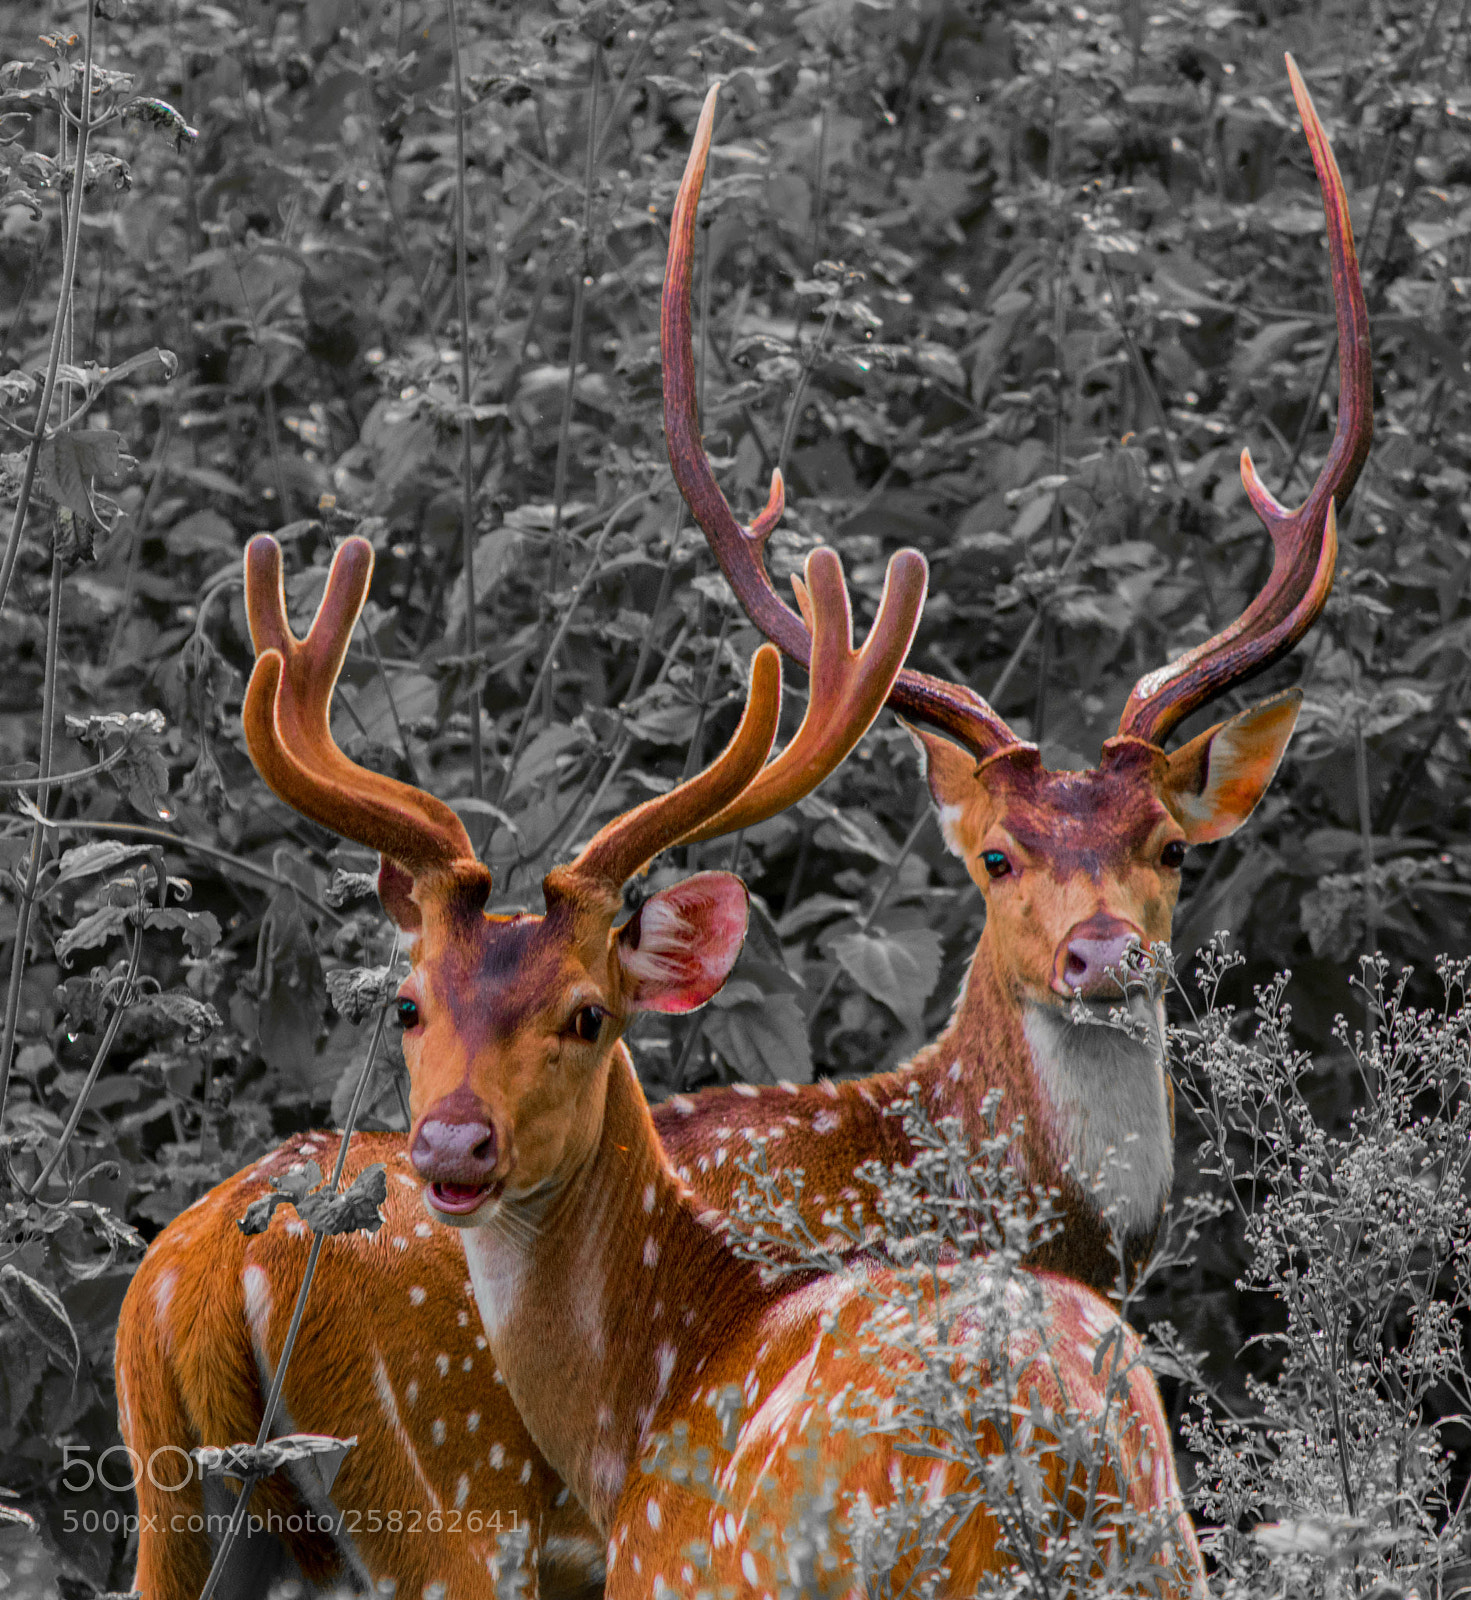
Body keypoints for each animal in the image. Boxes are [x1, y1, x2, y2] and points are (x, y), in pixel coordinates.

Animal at [114, 53, 1369, 1600]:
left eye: (1173, 850)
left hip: (193, 1518)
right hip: (458, 1507)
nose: (1099, 956)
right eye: (994, 856)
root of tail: (189, 1285)